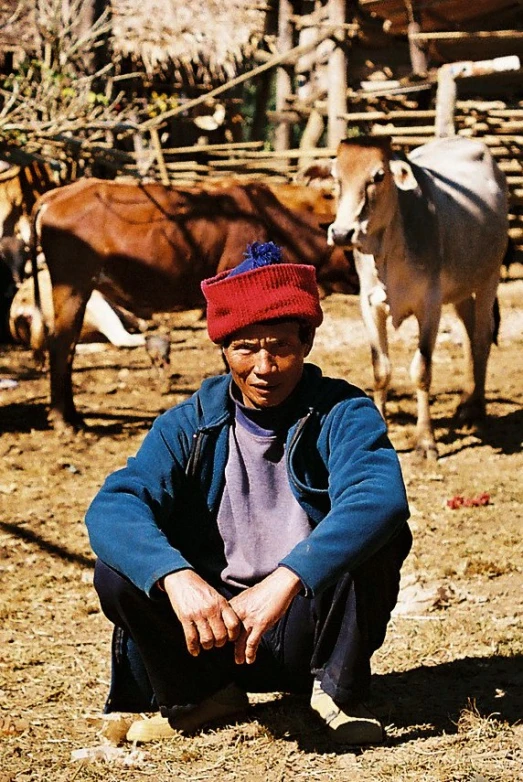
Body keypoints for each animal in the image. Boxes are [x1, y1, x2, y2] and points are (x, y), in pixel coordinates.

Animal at [328, 139, 508, 462]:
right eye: (336, 177)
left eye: (378, 176)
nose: (341, 233)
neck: (388, 251)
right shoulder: (369, 305)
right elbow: (381, 370)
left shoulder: (430, 305)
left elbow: (422, 371)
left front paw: (426, 442)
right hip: (461, 291)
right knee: (469, 335)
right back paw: (465, 402)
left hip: (489, 276)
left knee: (481, 337)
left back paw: (477, 409)